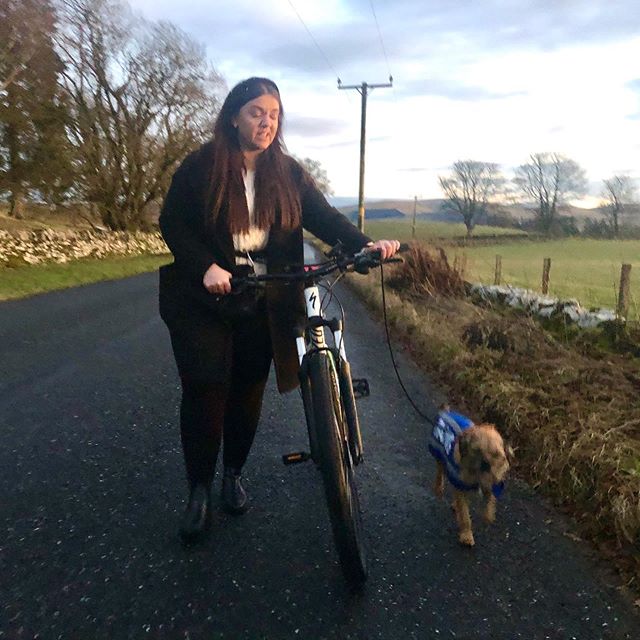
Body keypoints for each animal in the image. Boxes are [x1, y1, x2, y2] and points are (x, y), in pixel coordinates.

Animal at [428, 408, 512, 548]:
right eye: (477, 450)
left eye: (496, 455)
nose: (485, 464)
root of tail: (448, 411)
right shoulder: (462, 486)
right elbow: (465, 515)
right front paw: (466, 535)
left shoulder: (490, 484)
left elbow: (490, 502)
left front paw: (488, 515)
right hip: (440, 458)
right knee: (440, 472)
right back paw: (439, 488)